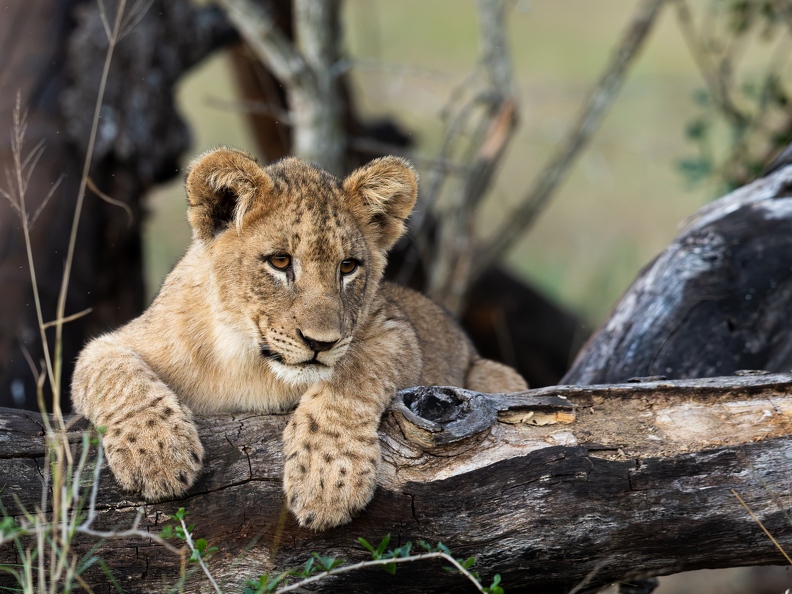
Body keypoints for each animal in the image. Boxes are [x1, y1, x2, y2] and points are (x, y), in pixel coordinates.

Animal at [71, 147, 528, 530]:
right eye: (279, 262)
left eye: (348, 266)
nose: (320, 343)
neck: (247, 361)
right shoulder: (120, 340)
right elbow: (111, 370)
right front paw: (157, 454)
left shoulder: (396, 331)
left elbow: (353, 375)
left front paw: (327, 481)